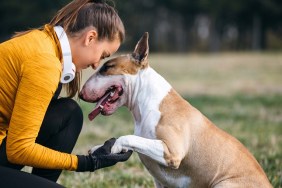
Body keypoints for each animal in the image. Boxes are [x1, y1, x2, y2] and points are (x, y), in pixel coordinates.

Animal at [79, 32, 270, 188]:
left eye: (107, 67)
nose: (80, 94)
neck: (147, 101)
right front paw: (99, 148)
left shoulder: (171, 151)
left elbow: (128, 137)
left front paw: (114, 147)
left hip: (224, 183)